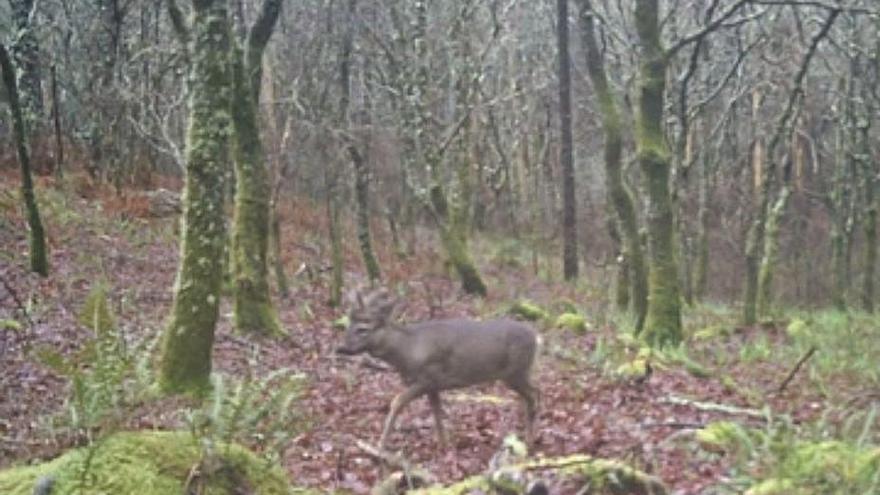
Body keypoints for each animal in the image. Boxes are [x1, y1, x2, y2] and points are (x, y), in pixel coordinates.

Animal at [336, 288, 540, 452]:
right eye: (348, 324)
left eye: (363, 328)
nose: (342, 348)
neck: (408, 350)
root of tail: (536, 337)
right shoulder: (434, 385)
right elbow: (436, 413)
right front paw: (443, 445)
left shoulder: (426, 378)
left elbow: (396, 402)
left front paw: (380, 445)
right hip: (519, 373)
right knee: (532, 393)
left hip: (515, 371)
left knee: (533, 394)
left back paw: (530, 440)